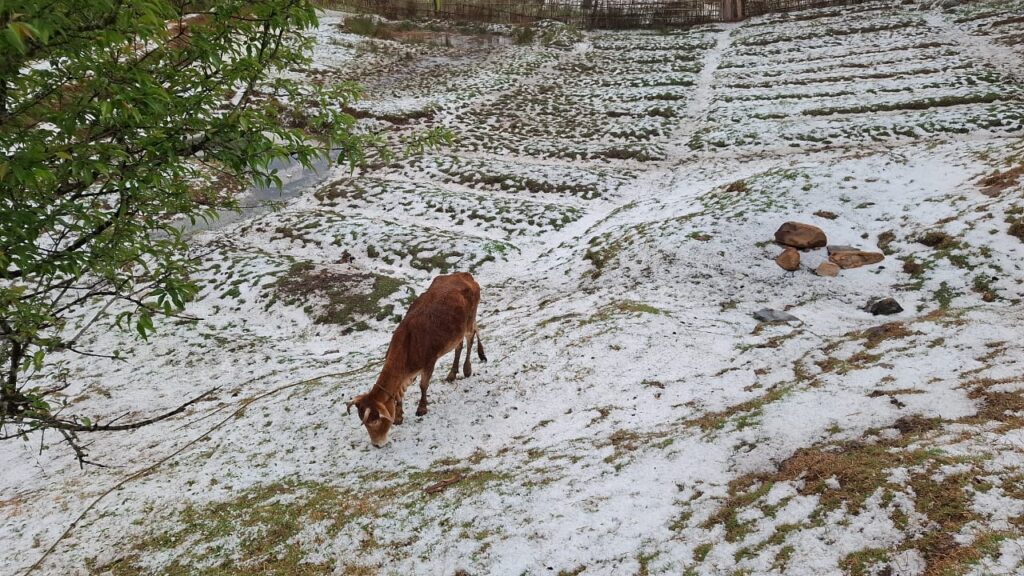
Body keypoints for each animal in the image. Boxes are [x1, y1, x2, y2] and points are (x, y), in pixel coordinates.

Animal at [346, 270, 485, 446]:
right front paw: (398, 416)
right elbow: (399, 394)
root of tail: (464, 274)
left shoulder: (429, 362)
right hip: (455, 333)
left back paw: (467, 369)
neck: (407, 345)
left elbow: (423, 385)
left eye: (375, 420)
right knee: (458, 346)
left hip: (469, 321)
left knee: (470, 338)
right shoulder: (407, 373)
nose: (377, 444)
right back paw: (452, 373)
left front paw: (422, 408)